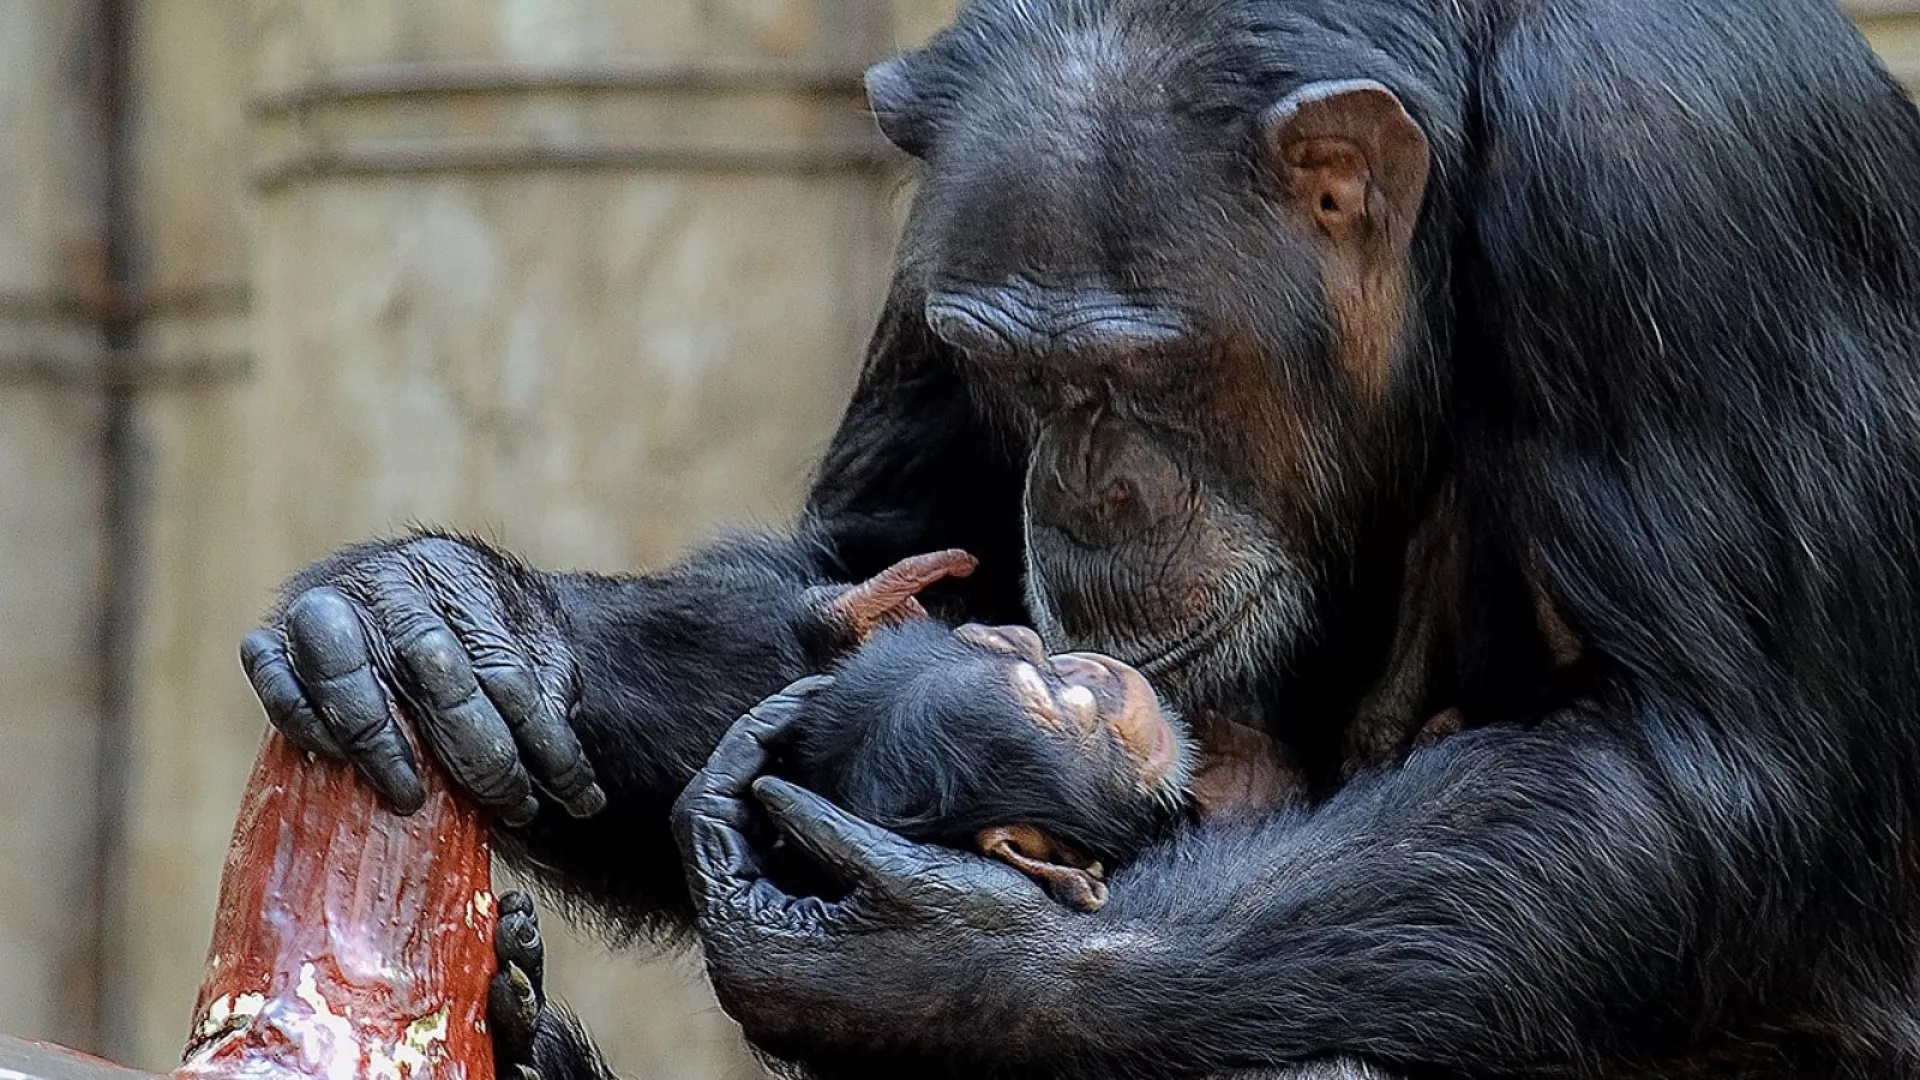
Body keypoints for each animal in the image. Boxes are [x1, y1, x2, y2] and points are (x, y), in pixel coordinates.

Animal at [236, 0, 1920, 1068]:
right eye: (1013, 372)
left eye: (1139, 372)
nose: (1088, 491)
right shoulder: (943, 242)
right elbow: (871, 574)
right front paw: (451, 616)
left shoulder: (1668, 173)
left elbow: (1701, 753)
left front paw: (943, 967)